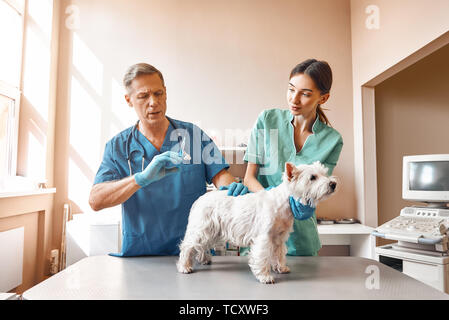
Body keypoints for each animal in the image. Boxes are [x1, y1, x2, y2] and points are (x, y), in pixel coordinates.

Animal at [175, 161, 336, 284]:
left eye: (325, 173)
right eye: (312, 177)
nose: (333, 184)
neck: (284, 203)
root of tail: (199, 199)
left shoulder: (279, 237)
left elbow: (279, 254)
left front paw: (281, 268)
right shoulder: (264, 237)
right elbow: (262, 256)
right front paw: (265, 276)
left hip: (212, 231)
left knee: (202, 246)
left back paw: (204, 259)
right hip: (202, 228)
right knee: (188, 246)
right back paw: (184, 267)